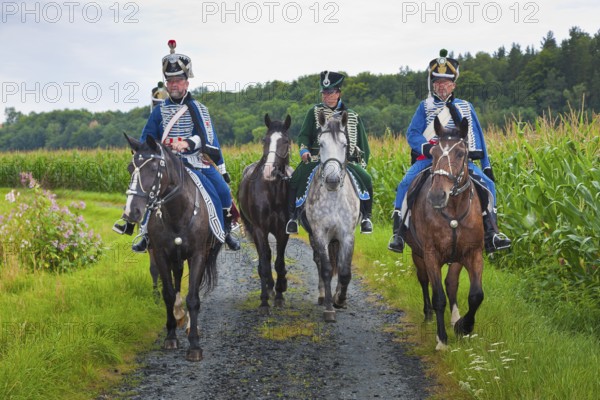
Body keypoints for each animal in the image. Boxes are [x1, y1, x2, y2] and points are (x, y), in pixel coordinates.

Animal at [121, 134, 223, 362]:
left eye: (153, 168)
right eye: (130, 168)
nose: (131, 212)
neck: (177, 212)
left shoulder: (197, 255)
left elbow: (193, 298)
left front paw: (194, 345)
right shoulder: (161, 254)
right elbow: (167, 293)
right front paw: (171, 335)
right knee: (176, 280)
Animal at [238, 113, 292, 316]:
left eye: (285, 141)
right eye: (265, 140)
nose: (269, 171)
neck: (272, 190)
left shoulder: (283, 231)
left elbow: (279, 262)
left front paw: (280, 295)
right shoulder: (260, 229)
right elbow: (265, 259)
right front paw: (264, 302)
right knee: (263, 258)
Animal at [302, 110, 358, 322]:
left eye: (344, 144)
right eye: (321, 144)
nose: (332, 180)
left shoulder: (347, 235)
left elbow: (344, 271)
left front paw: (340, 300)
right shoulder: (319, 234)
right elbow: (326, 269)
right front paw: (328, 308)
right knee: (318, 261)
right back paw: (321, 295)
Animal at [404, 115, 482, 350]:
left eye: (461, 153)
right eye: (433, 153)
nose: (437, 196)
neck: (454, 210)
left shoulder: (473, 253)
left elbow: (475, 295)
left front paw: (464, 326)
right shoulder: (431, 254)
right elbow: (438, 297)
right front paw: (442, 340)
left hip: (455, 258)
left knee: (451, 284)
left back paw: (455, 319)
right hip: (418, 254)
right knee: (424, 280)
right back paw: (428, 315)